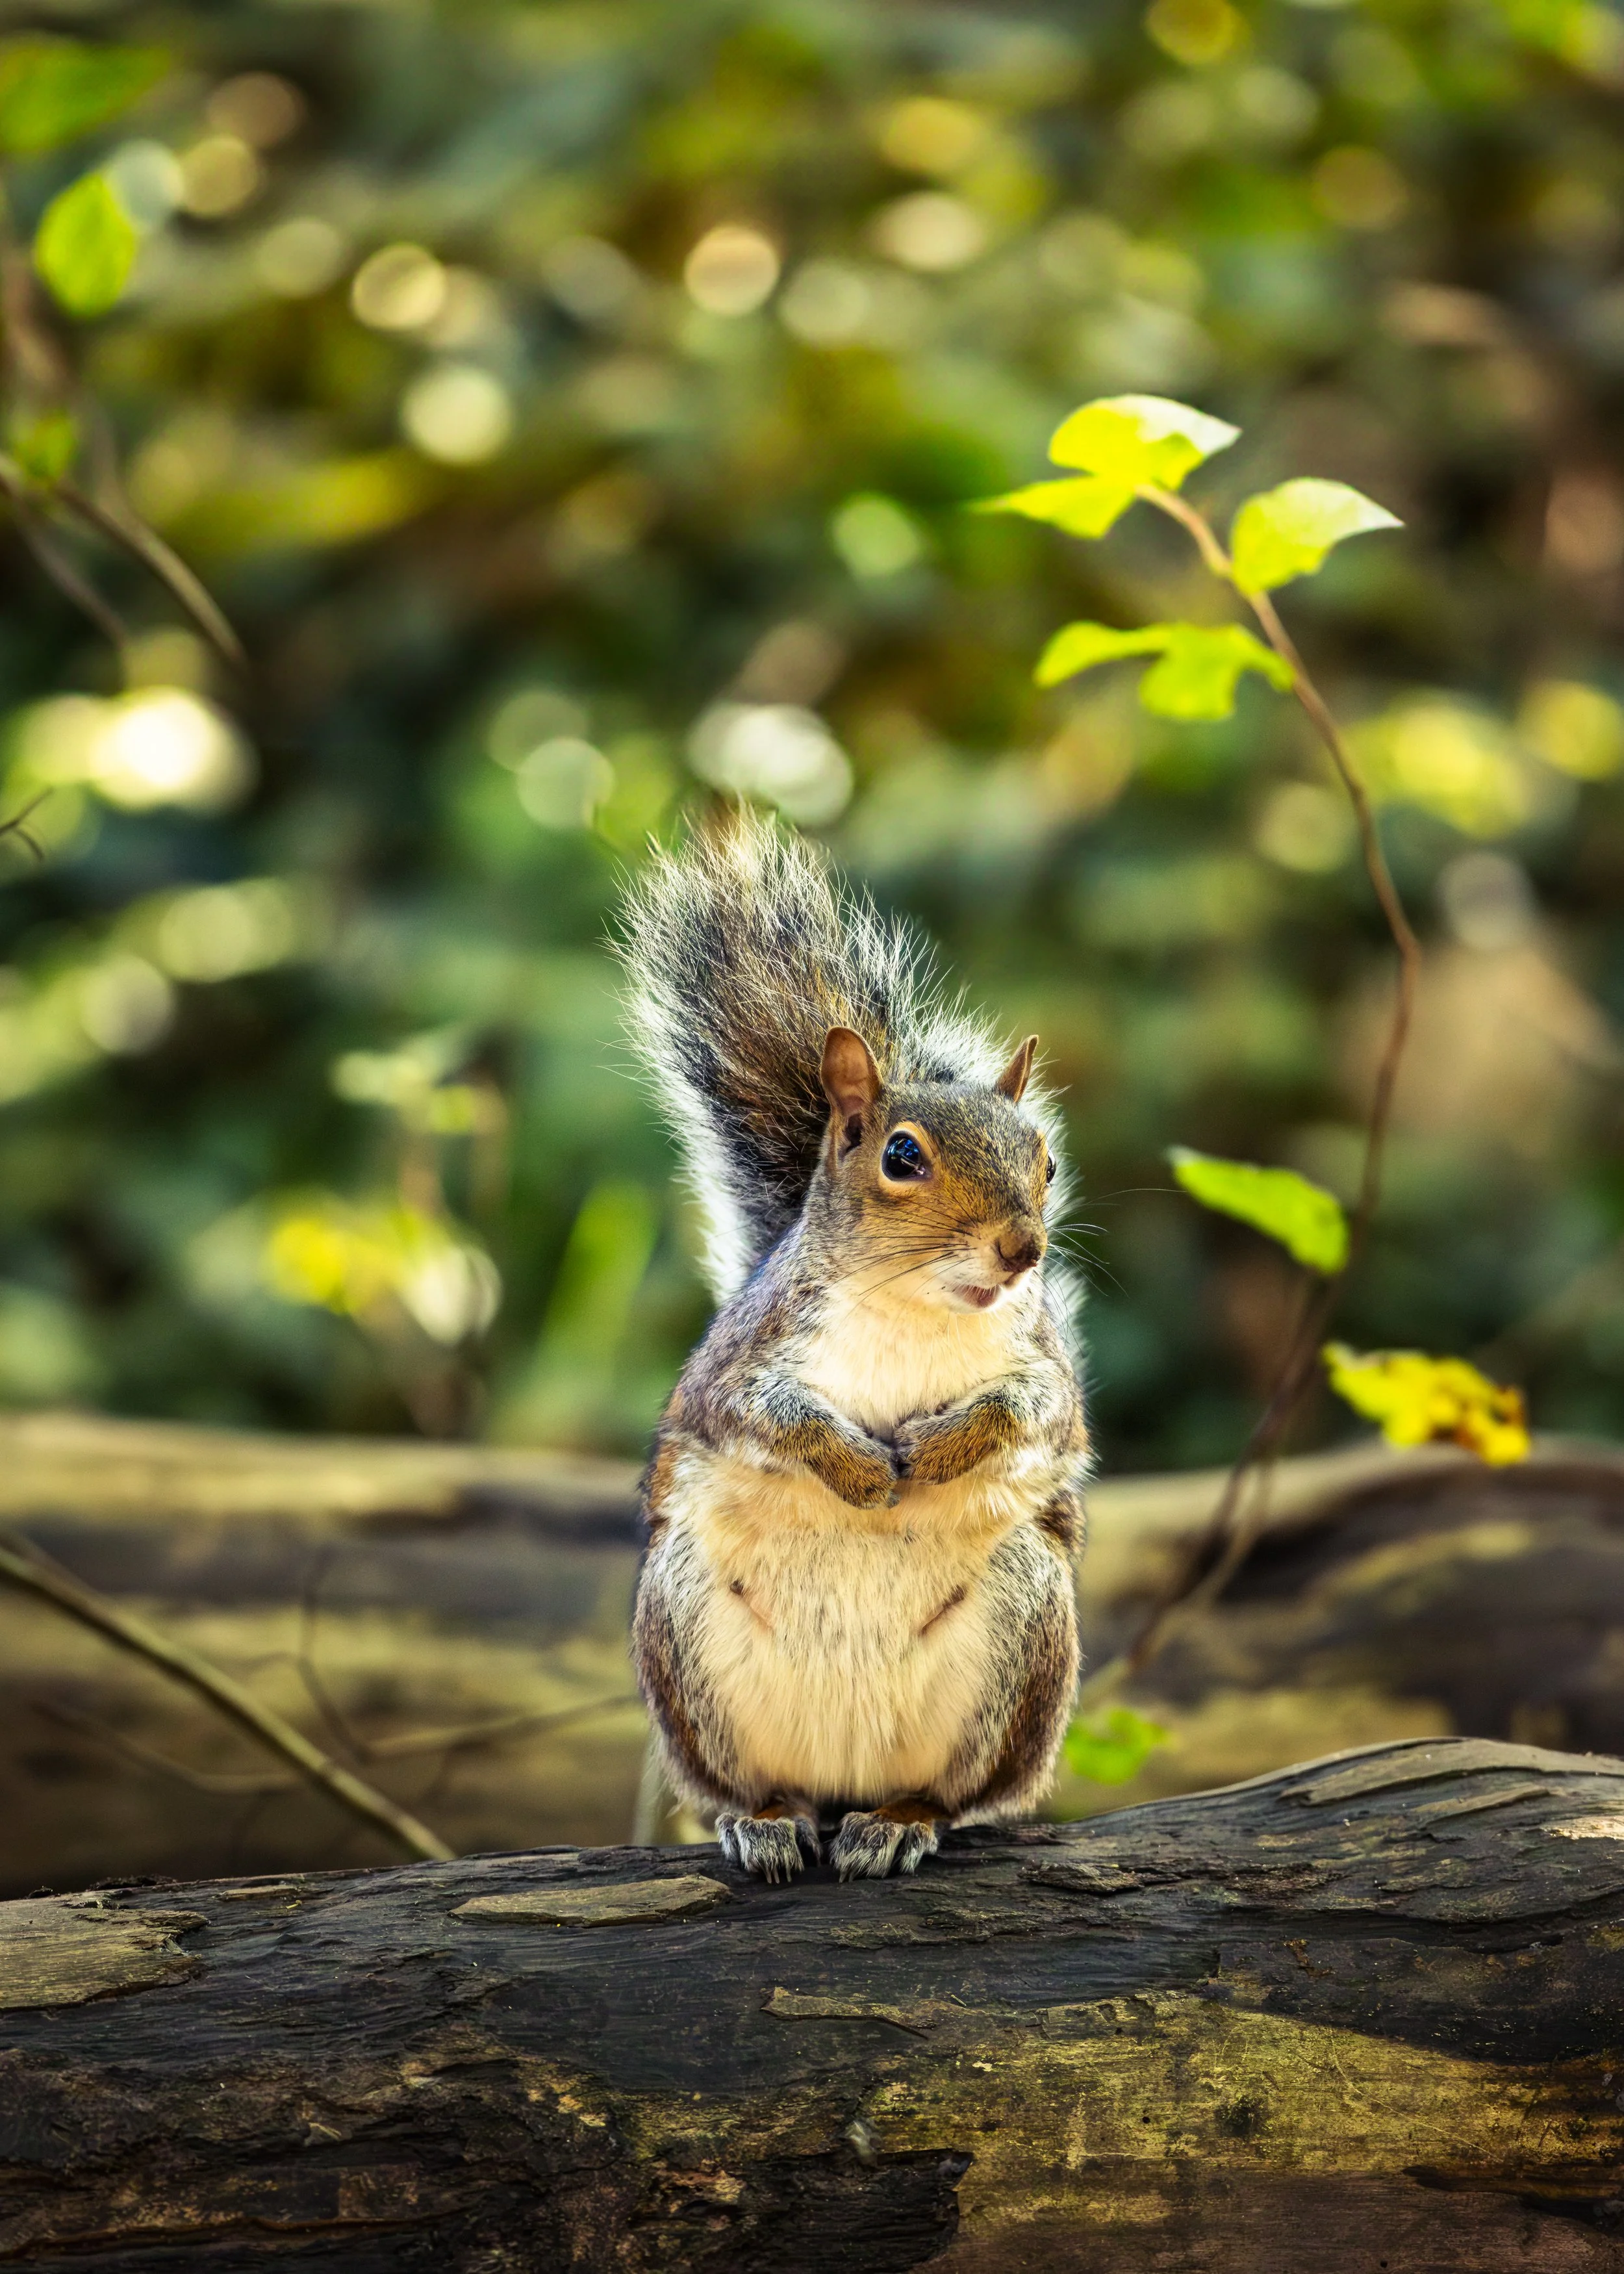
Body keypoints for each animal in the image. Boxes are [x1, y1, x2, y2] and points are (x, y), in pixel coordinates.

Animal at [619, 811, 1088, 1882]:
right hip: (684, 1636)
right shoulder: (741, 1365)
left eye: (1045, 1160)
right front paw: (862, 1469)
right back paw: (766, 1819)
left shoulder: (1045, 1371)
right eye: (901, 1155)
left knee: (954, 1794)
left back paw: (900, 1820)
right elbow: (768, 1415)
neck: (915, 1306)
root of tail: (846, 1777)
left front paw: (943, 1448)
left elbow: (1034, 1413)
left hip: (1023, 1634)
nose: (1023, 1248)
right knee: (759, 1786)